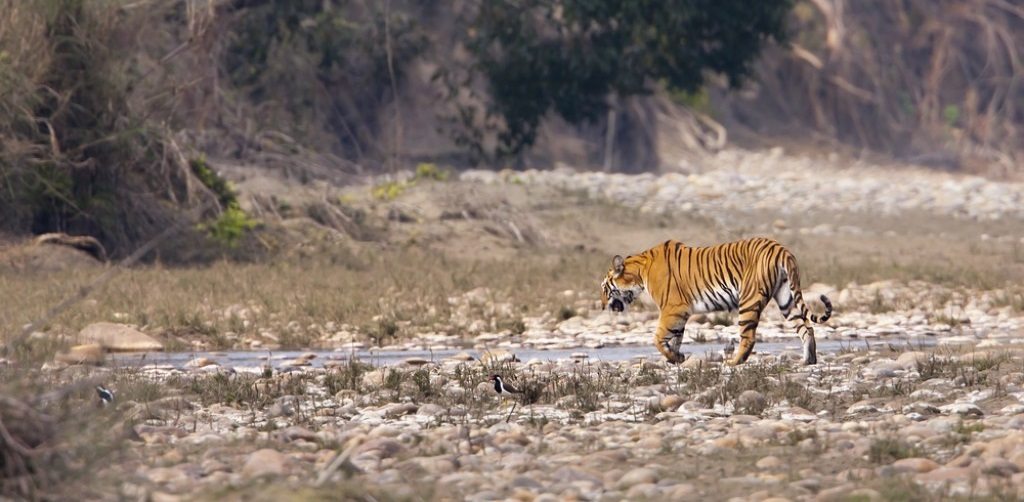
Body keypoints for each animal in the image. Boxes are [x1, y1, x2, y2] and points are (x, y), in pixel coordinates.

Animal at [598, 237, 831, 366]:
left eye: (604, 288)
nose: (601, 305)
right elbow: (675, 338)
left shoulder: (673, 309)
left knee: (748, 337)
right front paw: (676, 357)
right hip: (786, 298)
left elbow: (657, 338)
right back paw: (808, 361)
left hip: (748, 300)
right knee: (806, 328)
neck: (640, 271)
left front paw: (676, 358)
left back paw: (733, 362)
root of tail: (780, 248)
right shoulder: (679, 314)